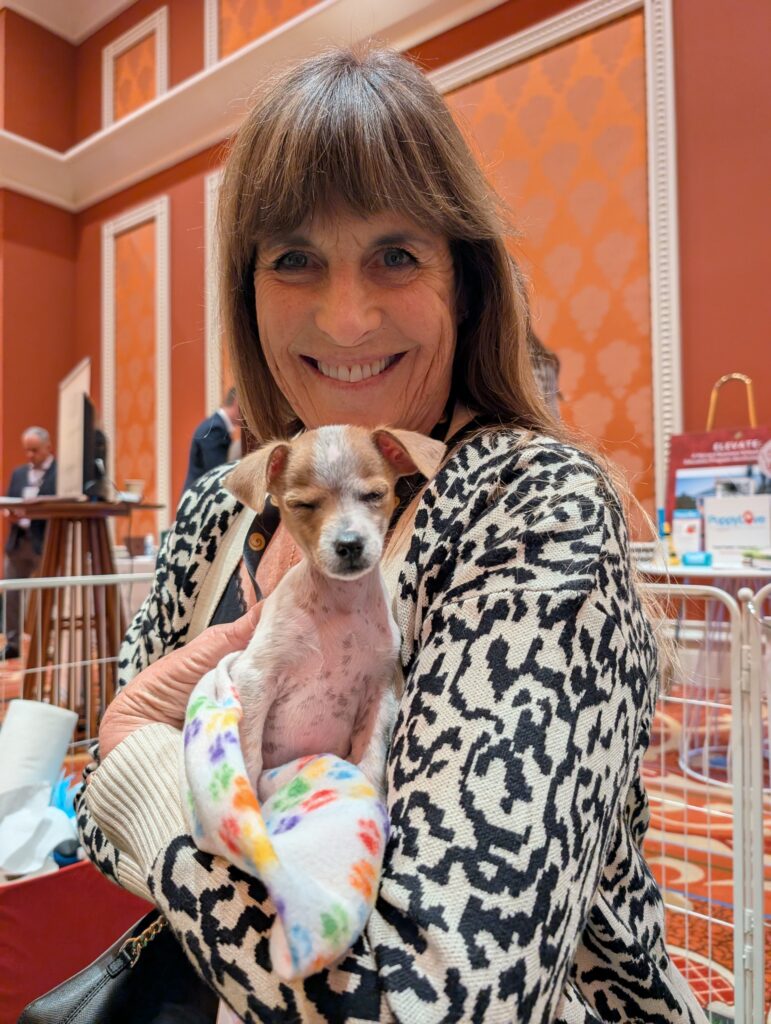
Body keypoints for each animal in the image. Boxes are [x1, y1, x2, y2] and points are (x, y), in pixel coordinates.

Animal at [224, 424, 446, 802]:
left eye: (374, 495)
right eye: (302, 504)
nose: (349, 544)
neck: (342, 602)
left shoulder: (379, 695)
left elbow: (370, 762)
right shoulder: (254, 678)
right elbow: (248, 757)